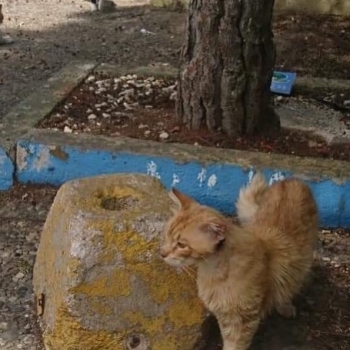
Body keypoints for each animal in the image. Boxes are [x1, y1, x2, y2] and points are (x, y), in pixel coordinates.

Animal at [160, 174, 318, 350]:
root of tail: (291, 179)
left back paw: (285, 305)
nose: (162, 253)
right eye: (167, 234)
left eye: (182, 245)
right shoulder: (225, 318)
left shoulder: (243, 320)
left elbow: (235, 346)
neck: (215, 272)